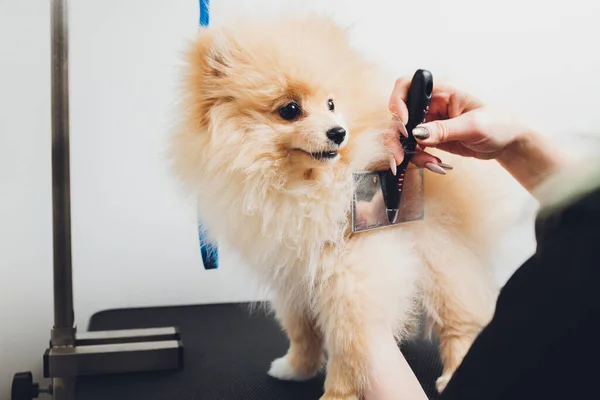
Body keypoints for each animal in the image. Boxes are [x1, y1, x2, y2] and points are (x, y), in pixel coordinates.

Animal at [168, 14, 516, 398]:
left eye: (332, 104)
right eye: (290, 110)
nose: (338, 132)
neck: (301, 185)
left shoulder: (351, 279)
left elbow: (348, 344)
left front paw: (337, 393)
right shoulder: (293, 280)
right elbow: (301, 330)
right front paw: (296, 368)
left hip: (441, 260)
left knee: (460, 320)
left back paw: (452, 372)